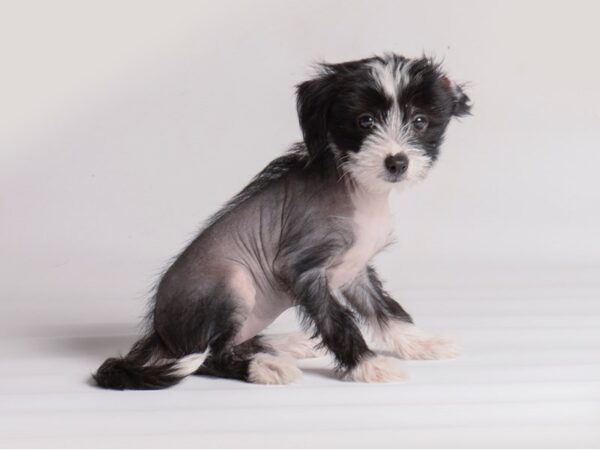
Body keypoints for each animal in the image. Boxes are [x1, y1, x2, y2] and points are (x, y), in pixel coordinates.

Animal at [95, 53, 468, 390]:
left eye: (419, 121)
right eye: (365, 121)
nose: (397, 162)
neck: (358, 189)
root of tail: (161, 335)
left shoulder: (356, 270)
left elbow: (386, 310)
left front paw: (420, 342)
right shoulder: (303, 270)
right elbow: (338, 322)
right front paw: (368, 365)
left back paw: (285, 344)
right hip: (234, 283)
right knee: (210, 356)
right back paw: (262, 366)